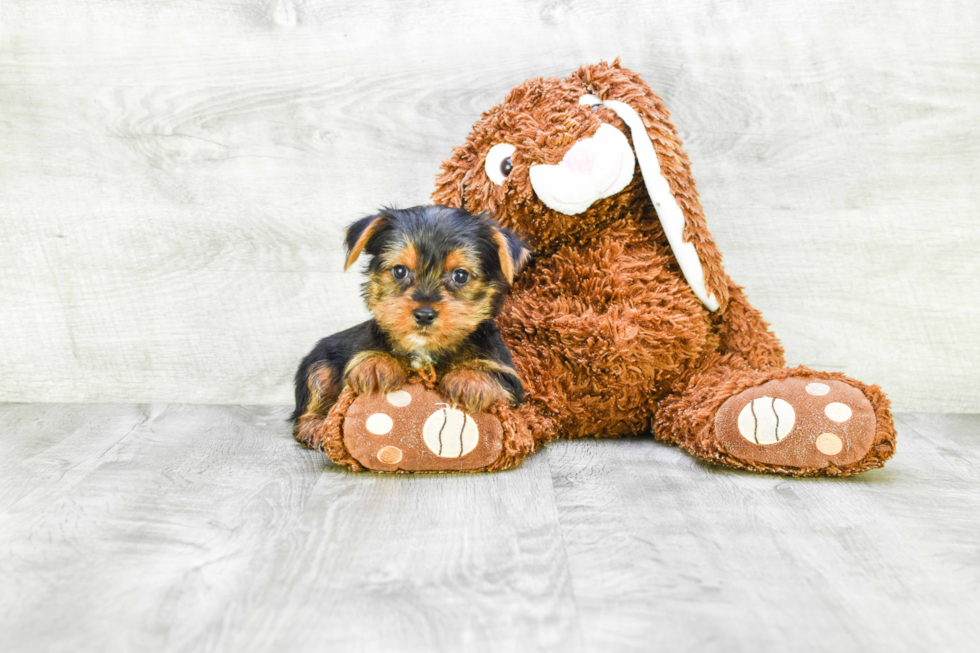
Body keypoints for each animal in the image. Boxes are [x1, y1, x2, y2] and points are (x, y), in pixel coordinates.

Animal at [290, 204, 528, 422]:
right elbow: (360, 359)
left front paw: (470, 379)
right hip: (318, 361)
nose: (424, 314)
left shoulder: (509, 376)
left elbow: (499, 377)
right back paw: (314, 427)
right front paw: (376, 364)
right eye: (399, 271)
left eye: (460, 275)